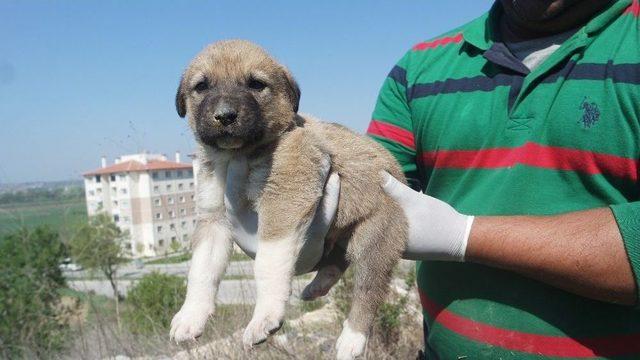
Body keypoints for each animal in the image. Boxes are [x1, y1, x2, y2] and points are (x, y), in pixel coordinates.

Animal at [170, 40, 408, 360]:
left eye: (256, 84)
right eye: (202, 86)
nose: (225, 116)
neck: (239, 155)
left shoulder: (285, 199)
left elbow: (268, 263)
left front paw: (265, 316)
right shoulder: (214, 218)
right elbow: (201, 270)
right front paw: (191, 315)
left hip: (376, 234)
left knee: (369, 287)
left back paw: (352, 339)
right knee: (337, 259)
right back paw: (318, 285)